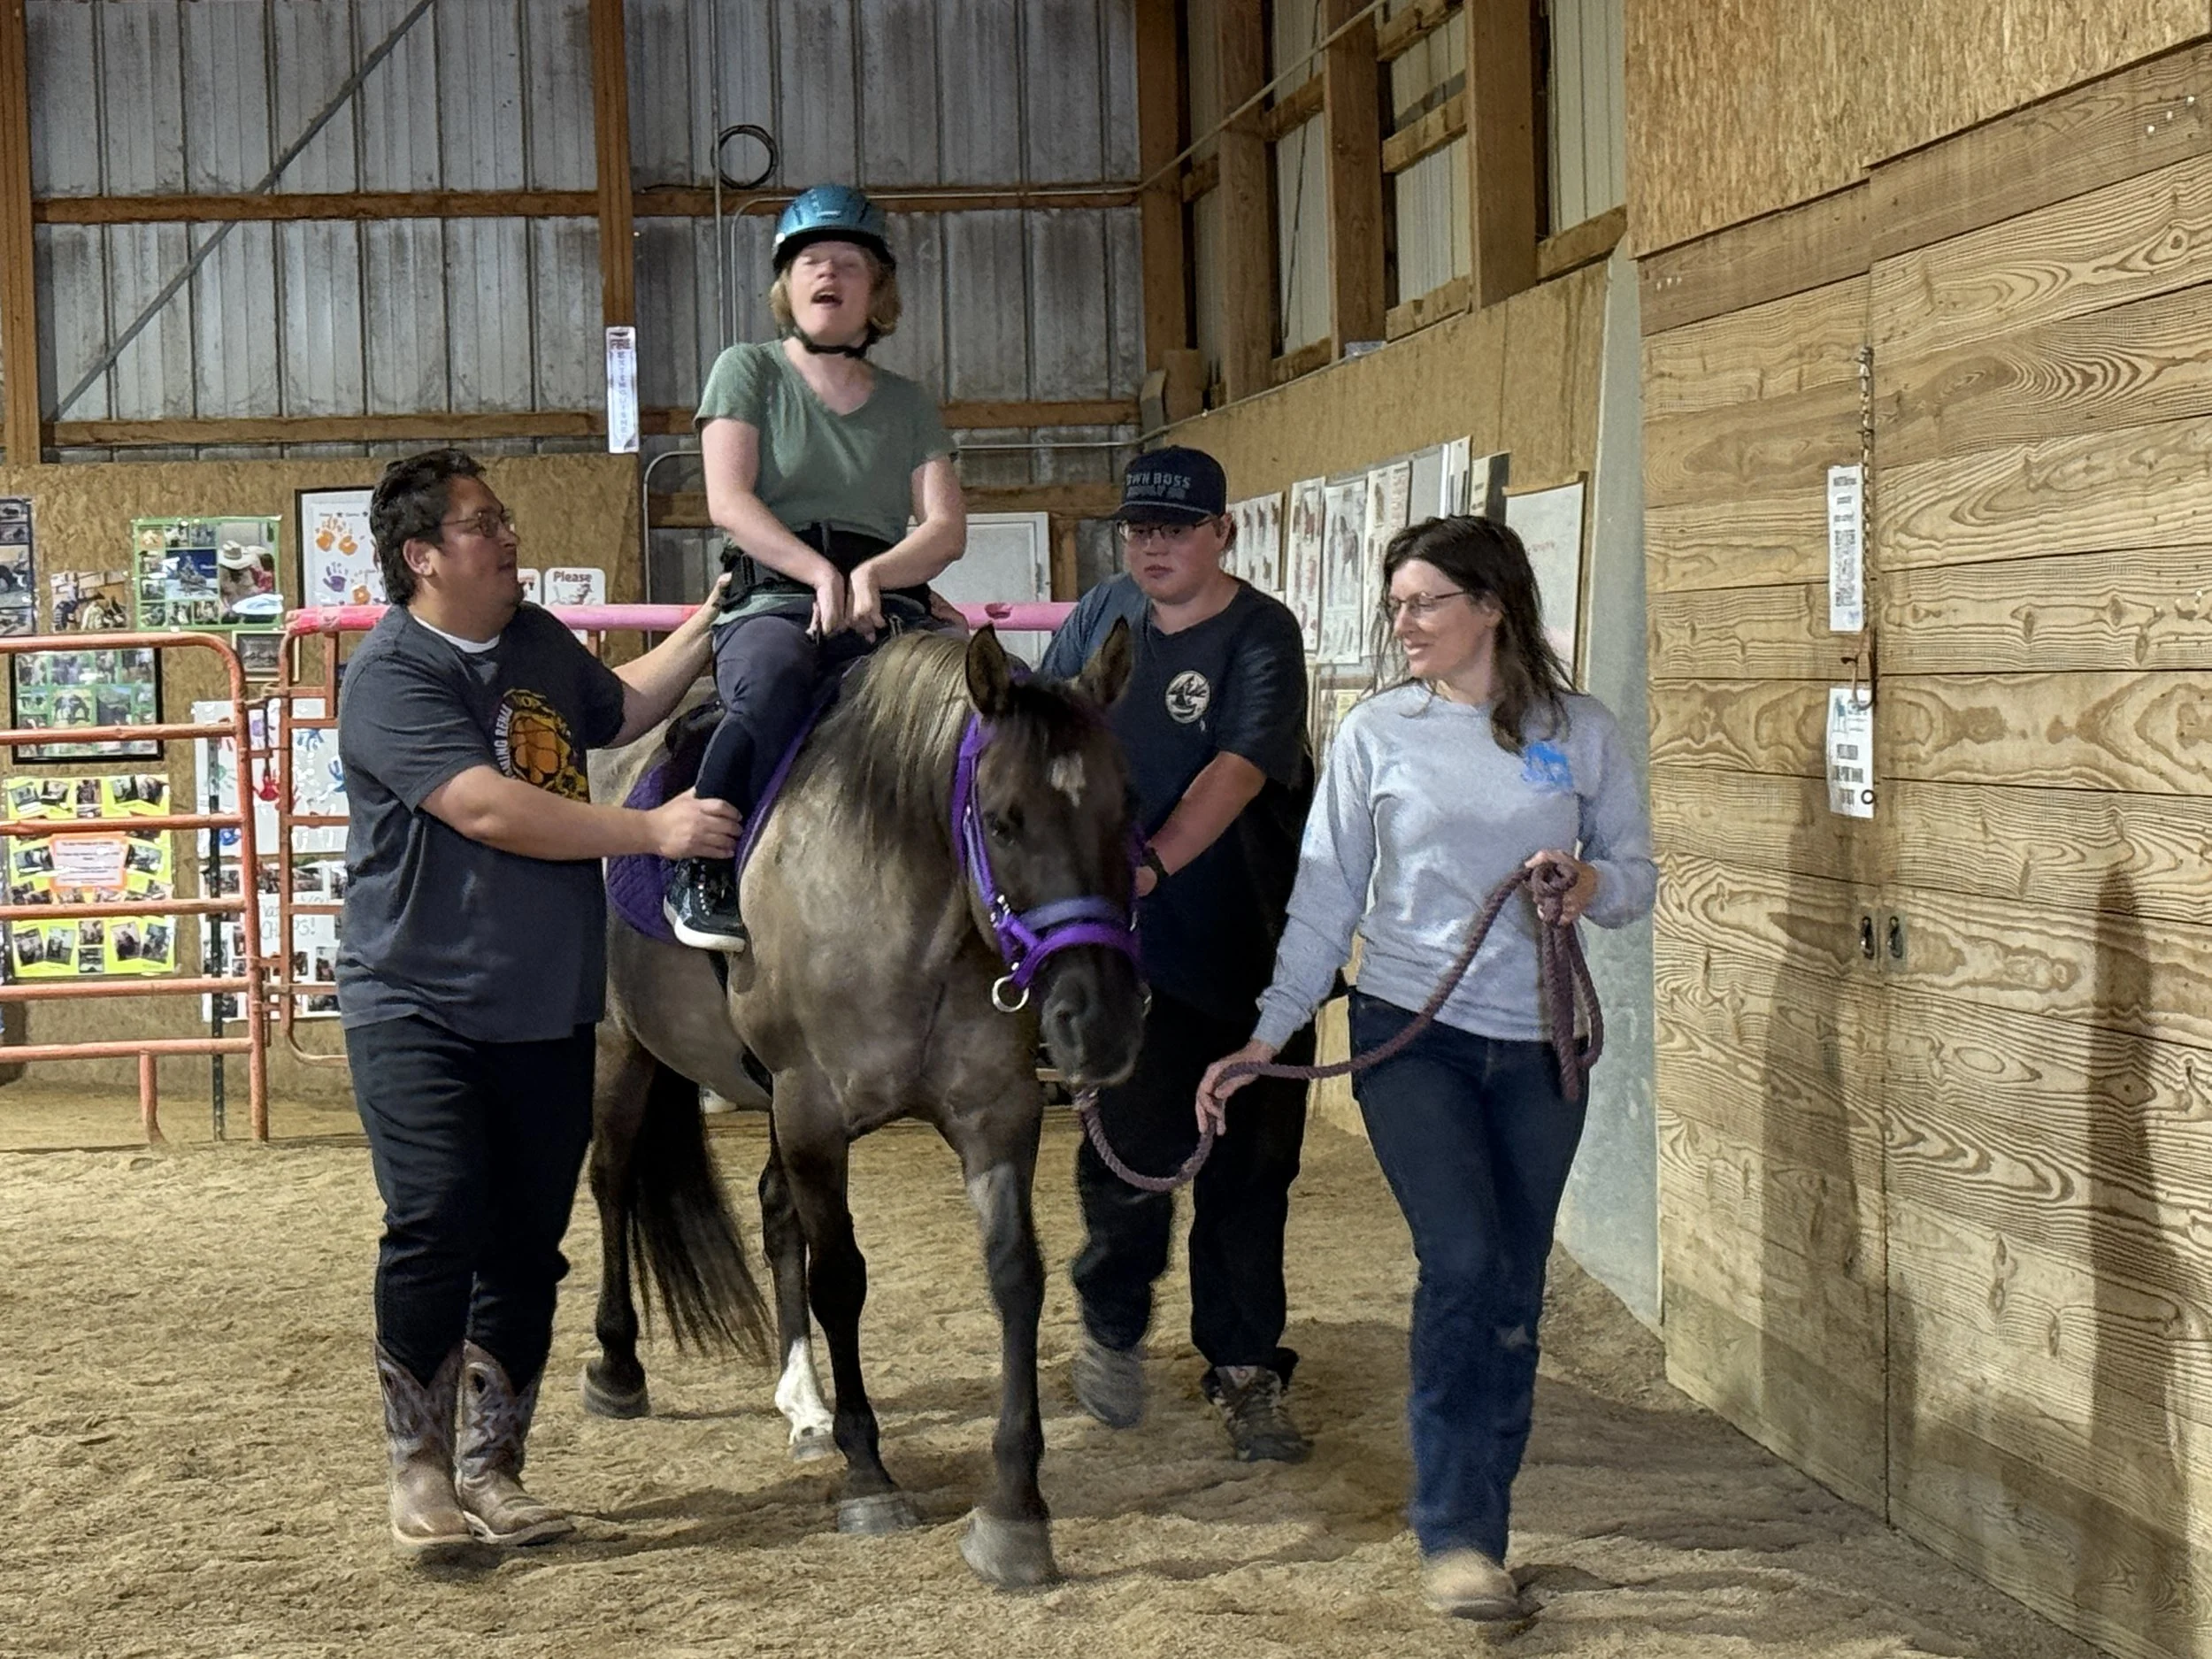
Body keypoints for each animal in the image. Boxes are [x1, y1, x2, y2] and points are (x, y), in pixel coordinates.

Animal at [580, 623, 1143, 1587]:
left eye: (1127, 807)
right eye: (1004, 818)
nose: (1099, 1022)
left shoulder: (996, 1114)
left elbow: (1016, 1278)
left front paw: (1013, 1509)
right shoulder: (814, 1112)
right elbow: (842, 1277)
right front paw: (869, 1473)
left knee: (774, 1213)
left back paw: (802, 1403)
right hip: (624, 1049)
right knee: (614, 1179)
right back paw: (618, 1365)